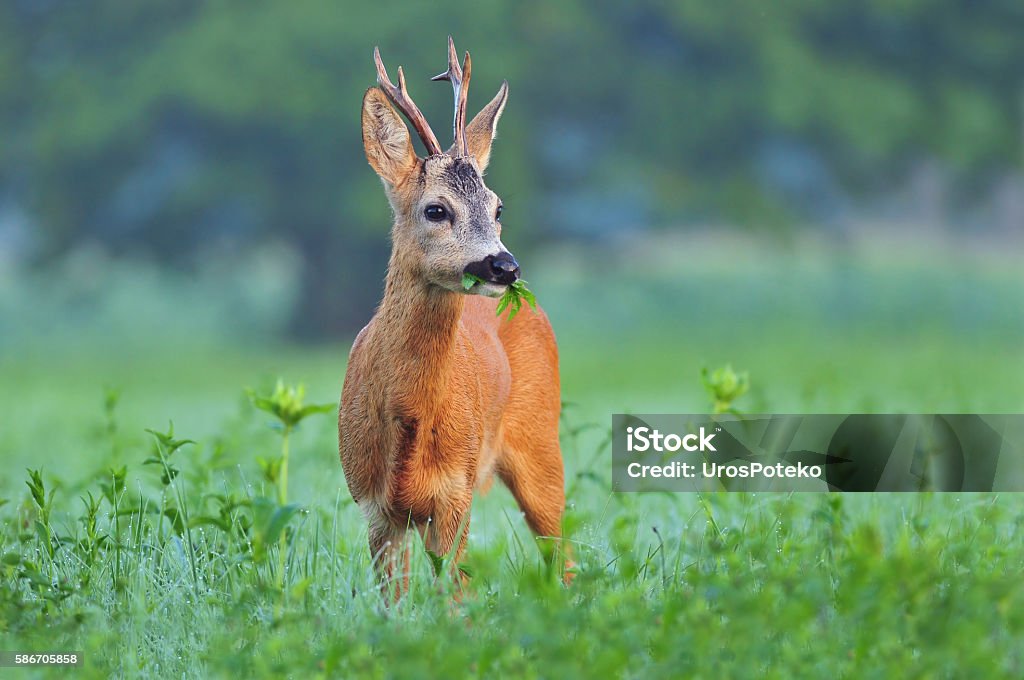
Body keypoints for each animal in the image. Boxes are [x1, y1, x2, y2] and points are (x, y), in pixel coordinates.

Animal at [339, 37, 573, 593]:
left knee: (565, 551)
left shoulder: (456, 496)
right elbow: (393, 603)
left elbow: (455, 598)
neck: (409, 422)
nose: (504, 265)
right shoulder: (375, 509)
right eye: (436, 209)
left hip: (541, 443)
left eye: (498, 206)